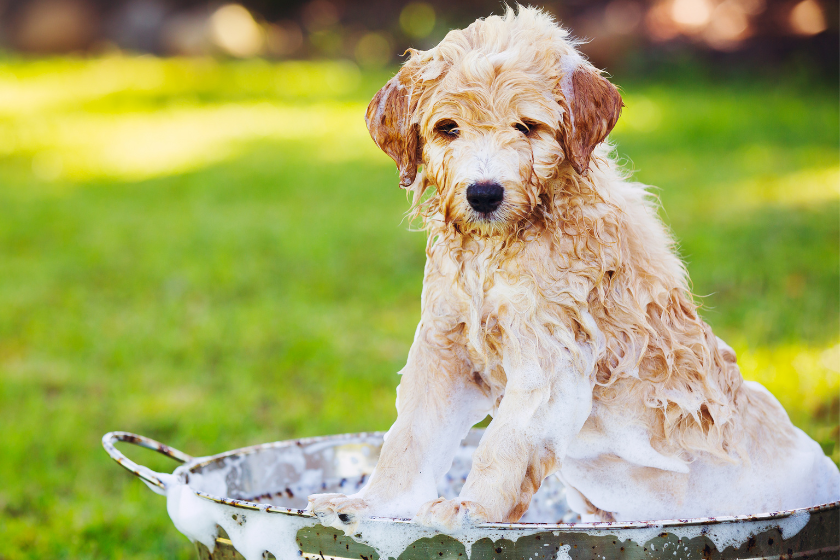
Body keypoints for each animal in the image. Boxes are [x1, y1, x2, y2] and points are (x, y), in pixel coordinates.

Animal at [308, 6, 840, 532]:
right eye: (448, 128)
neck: (498, 254)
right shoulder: (443, 347)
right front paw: (371, 504)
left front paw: (471, 510)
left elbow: (500, 446)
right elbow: (409, 438)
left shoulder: (550, 361)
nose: (484, 194)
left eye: (526, 127)